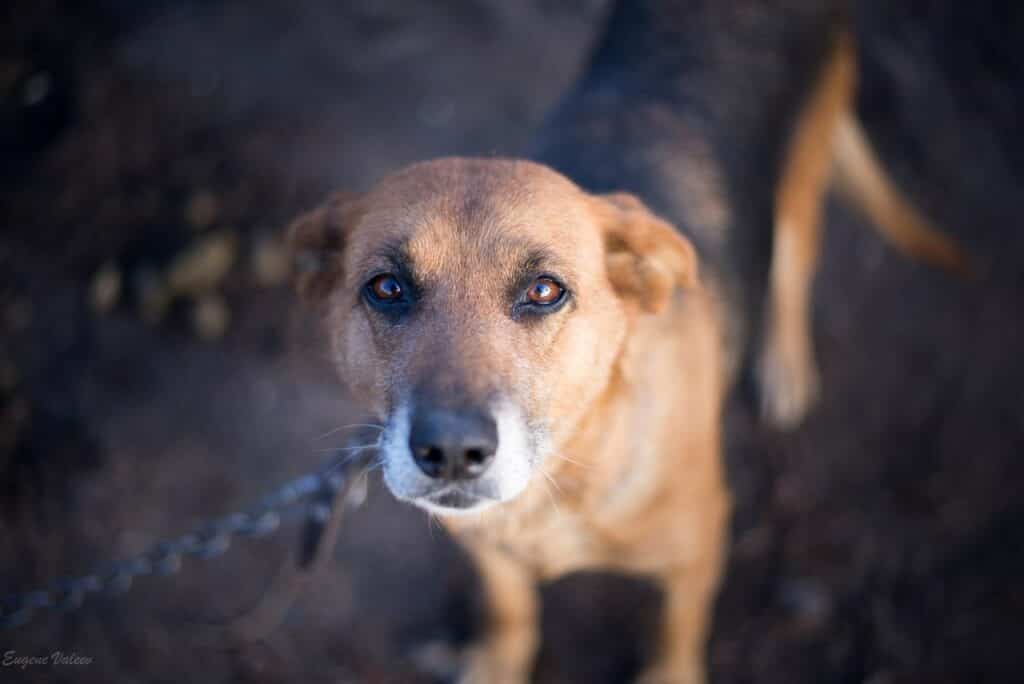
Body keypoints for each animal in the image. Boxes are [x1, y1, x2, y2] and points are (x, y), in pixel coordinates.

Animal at [284, 2, 962, 679]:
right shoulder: (485, 544)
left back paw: (785, 367)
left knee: (792, 263)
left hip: (801, 168)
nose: (451, 451)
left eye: (545, 291)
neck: (561, 481)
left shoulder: (696, 553)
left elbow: (672, 634)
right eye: (387, 288)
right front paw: (497, 662)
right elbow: (509, 610)